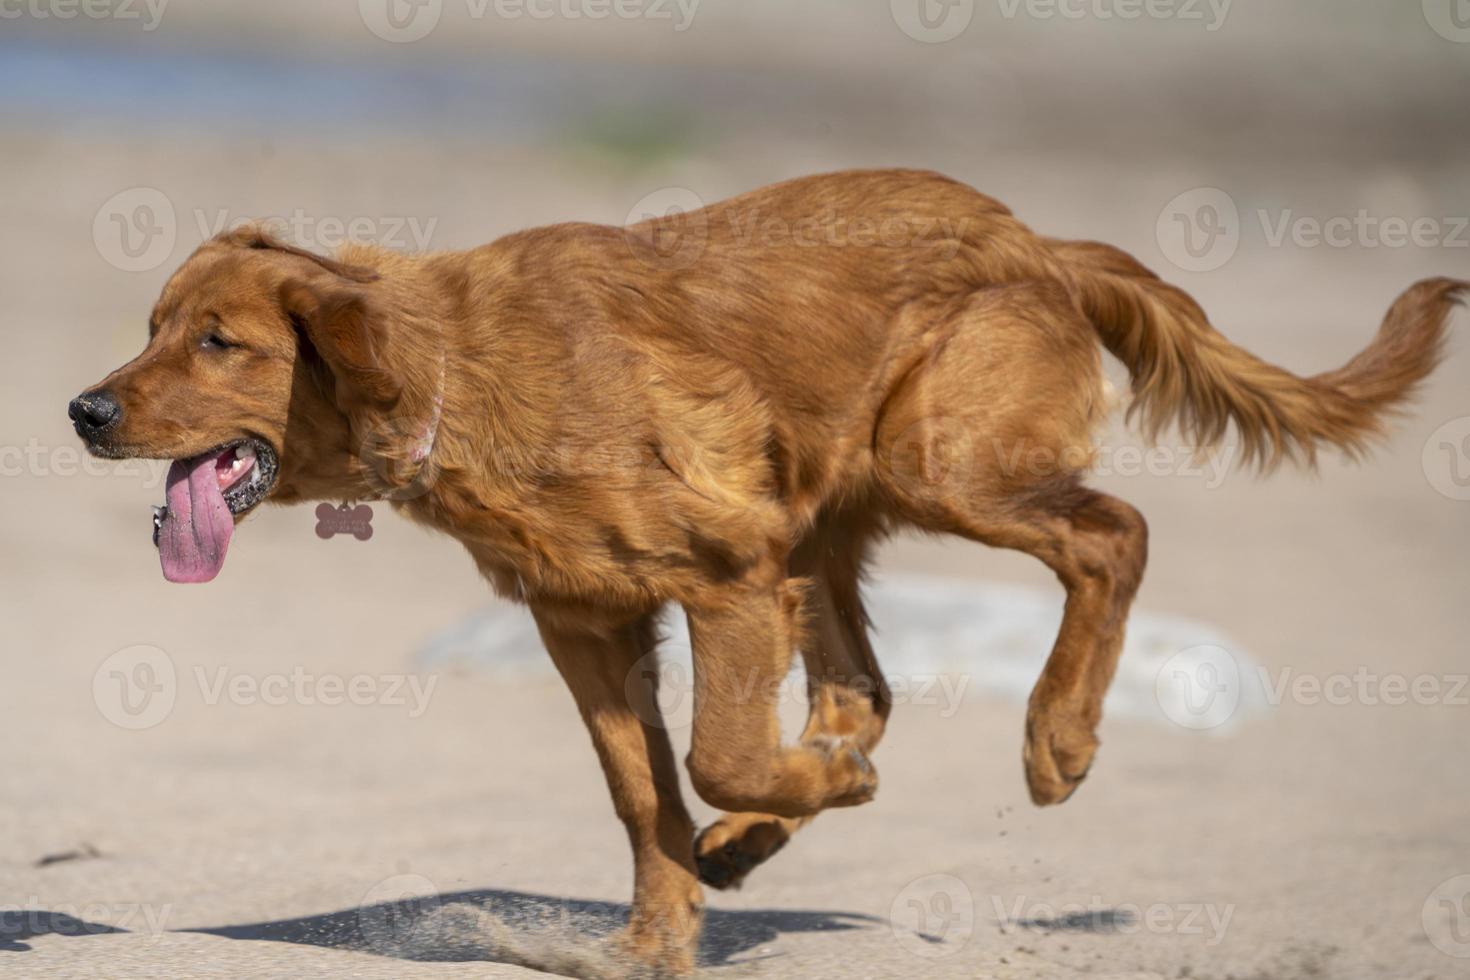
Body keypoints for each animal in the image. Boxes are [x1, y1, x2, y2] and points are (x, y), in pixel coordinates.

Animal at [74, 172, 1464, 975]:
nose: (83, 411)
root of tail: (1039, 237)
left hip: (935, 463)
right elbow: (646, 793)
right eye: (150, 327)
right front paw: (659, 931)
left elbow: (719, 752)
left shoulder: (724, 573)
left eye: (219, 342)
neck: (454, 370)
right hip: (827, 528)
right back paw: (755, 843)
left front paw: (803, 804)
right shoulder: (587, 620)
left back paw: (1054, 738)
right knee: (864, 687)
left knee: (1111, 534)